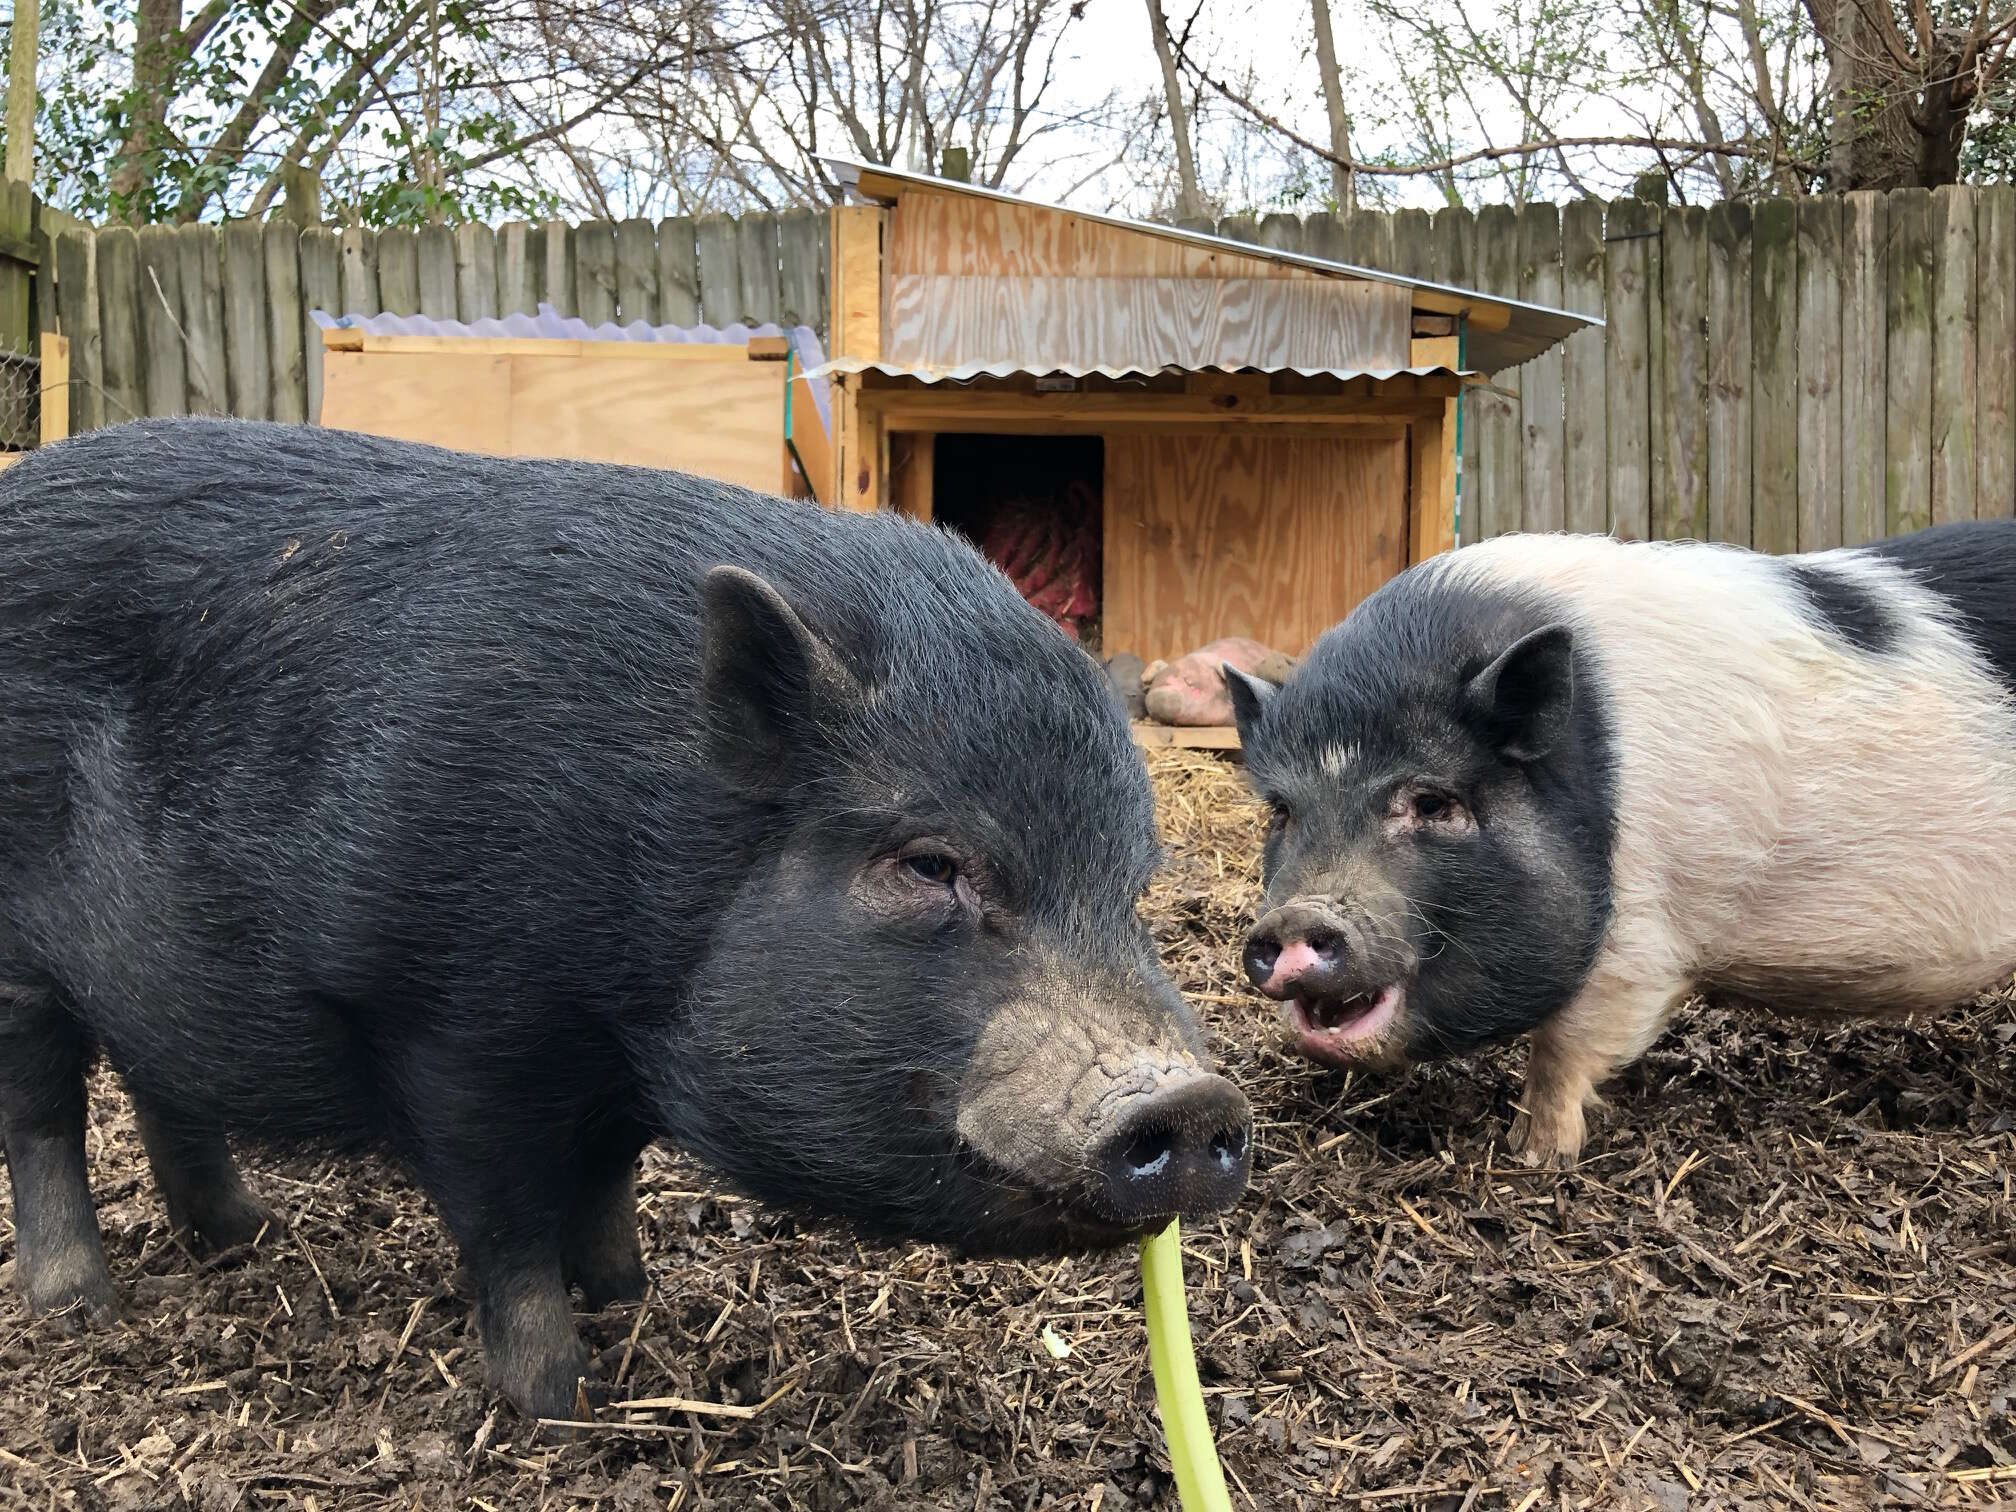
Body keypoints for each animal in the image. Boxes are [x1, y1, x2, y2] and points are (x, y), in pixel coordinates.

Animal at [0, 421, 1249, 1427]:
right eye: (931, 863)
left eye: (1134, 885)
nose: (1195, 1101)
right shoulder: (451, 1026)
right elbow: (505, 1226)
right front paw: (561, 1407)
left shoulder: (604, 1072)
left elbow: (605, 1183)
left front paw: (630, 1299)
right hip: (17, 952)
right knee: (44, 1110)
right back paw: (77, 1306)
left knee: (159, 1074)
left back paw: (242, 1235)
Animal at [1217, 528, 2016, 1169]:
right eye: (1282, 811)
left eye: (1434, 803)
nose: (1295, 919)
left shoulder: (1638, 944)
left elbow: (1563, 1052)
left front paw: (1534, 1158)